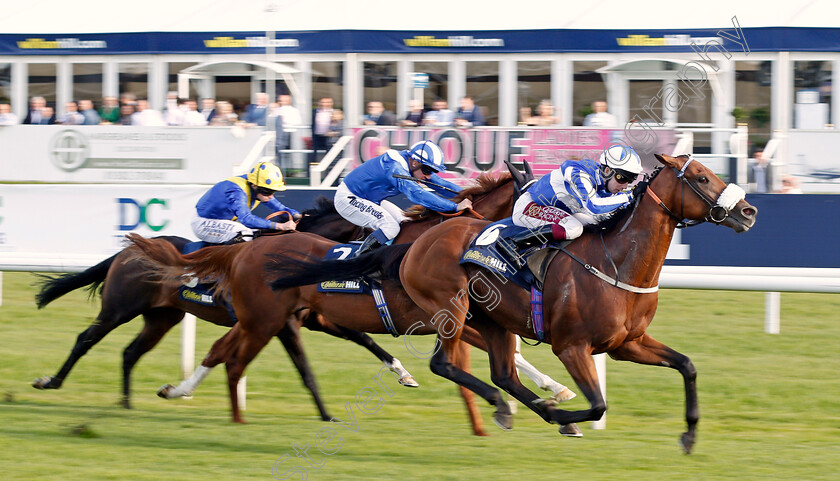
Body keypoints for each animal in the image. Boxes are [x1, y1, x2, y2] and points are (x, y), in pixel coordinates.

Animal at [396, 155, 760, 454]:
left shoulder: (628, 343)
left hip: (492, 321)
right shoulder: (571, 347)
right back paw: (531, 408)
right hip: (452, 310)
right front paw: (564, 417)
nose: (748, 211)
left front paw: (689, 435)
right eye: (701, 177)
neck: (616, 262)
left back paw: (526, 408)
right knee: (443, 364)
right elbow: (599, 405)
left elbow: (687, 365)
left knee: (504, 375)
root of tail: (420, 242)